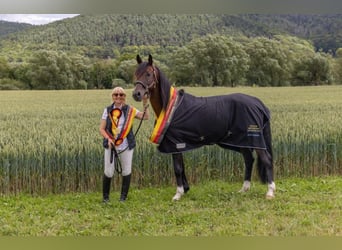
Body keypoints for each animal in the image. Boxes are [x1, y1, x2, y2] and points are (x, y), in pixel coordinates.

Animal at [131, 54, 276, 201]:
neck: (171, 107)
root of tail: (258, 103)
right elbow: (182, 167)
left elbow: (177, 168)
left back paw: (270, 192)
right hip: (242, 141)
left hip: (254, 140)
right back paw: (244, 189)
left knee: (266, 160)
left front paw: (177, 194)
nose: (136, 94)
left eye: (148, 74)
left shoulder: (175, 144)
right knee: (249, 159)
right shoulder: (180, 145)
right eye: (136, 73)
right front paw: (185, 189)